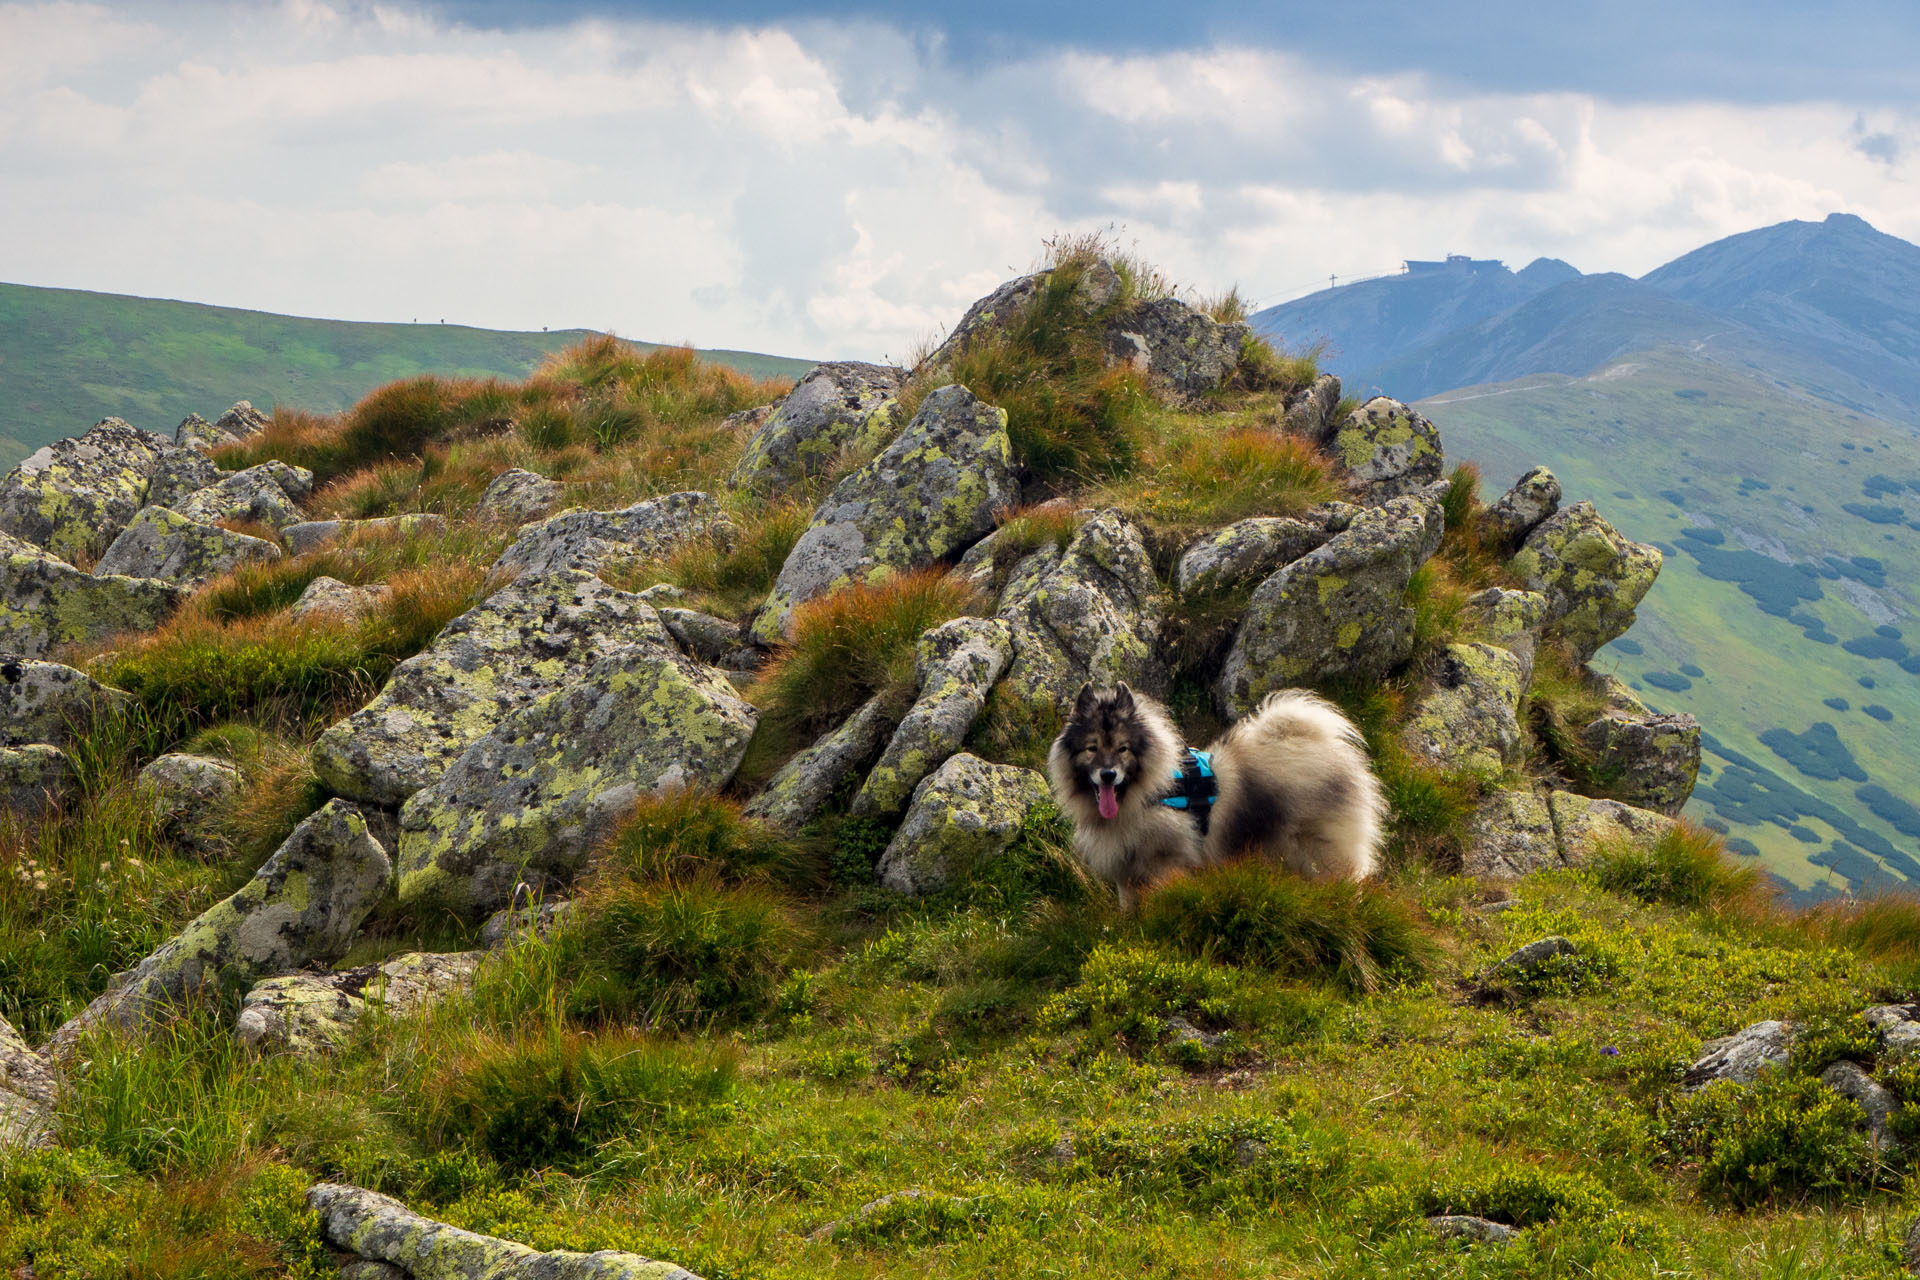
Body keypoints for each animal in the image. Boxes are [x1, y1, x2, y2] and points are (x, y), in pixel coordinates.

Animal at [1052, 687, 1382, 905]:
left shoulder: (1166, 865)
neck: (1149, 792)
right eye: (1092, 748)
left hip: (1324, 850)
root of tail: (1323, 745)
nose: (1108, 774)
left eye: (1123, 749)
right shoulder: (1127, 875)